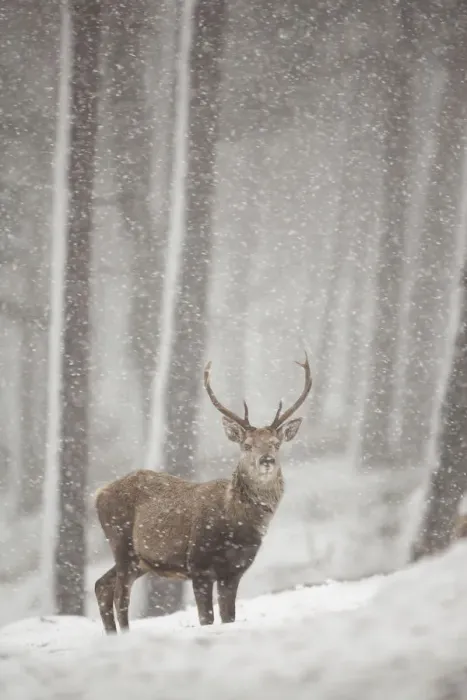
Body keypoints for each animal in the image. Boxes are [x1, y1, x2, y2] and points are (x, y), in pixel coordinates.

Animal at [94, 353, 312, 633]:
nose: (266, 460)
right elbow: (206, 619)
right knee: (121, 595)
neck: (235, 526)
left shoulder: (235, 571)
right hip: (121, 542)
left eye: (276, 444)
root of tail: (98, 494)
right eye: (247, 445)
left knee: (102, 585)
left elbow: (229, 617)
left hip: (140, 559)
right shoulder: (198, 564)